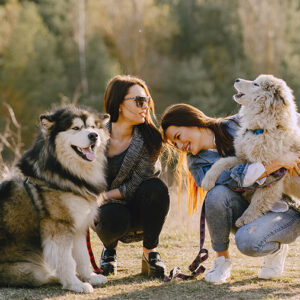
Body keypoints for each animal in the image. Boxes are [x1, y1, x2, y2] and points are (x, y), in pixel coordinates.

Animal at [200, 74, 300, 226]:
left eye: (256, 84)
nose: (236, 79)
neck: (261, 129)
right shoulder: (244, 159)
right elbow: (222, 162)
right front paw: (207, 180)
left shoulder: (274, 176)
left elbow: (258, 200)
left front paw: (244, 219)